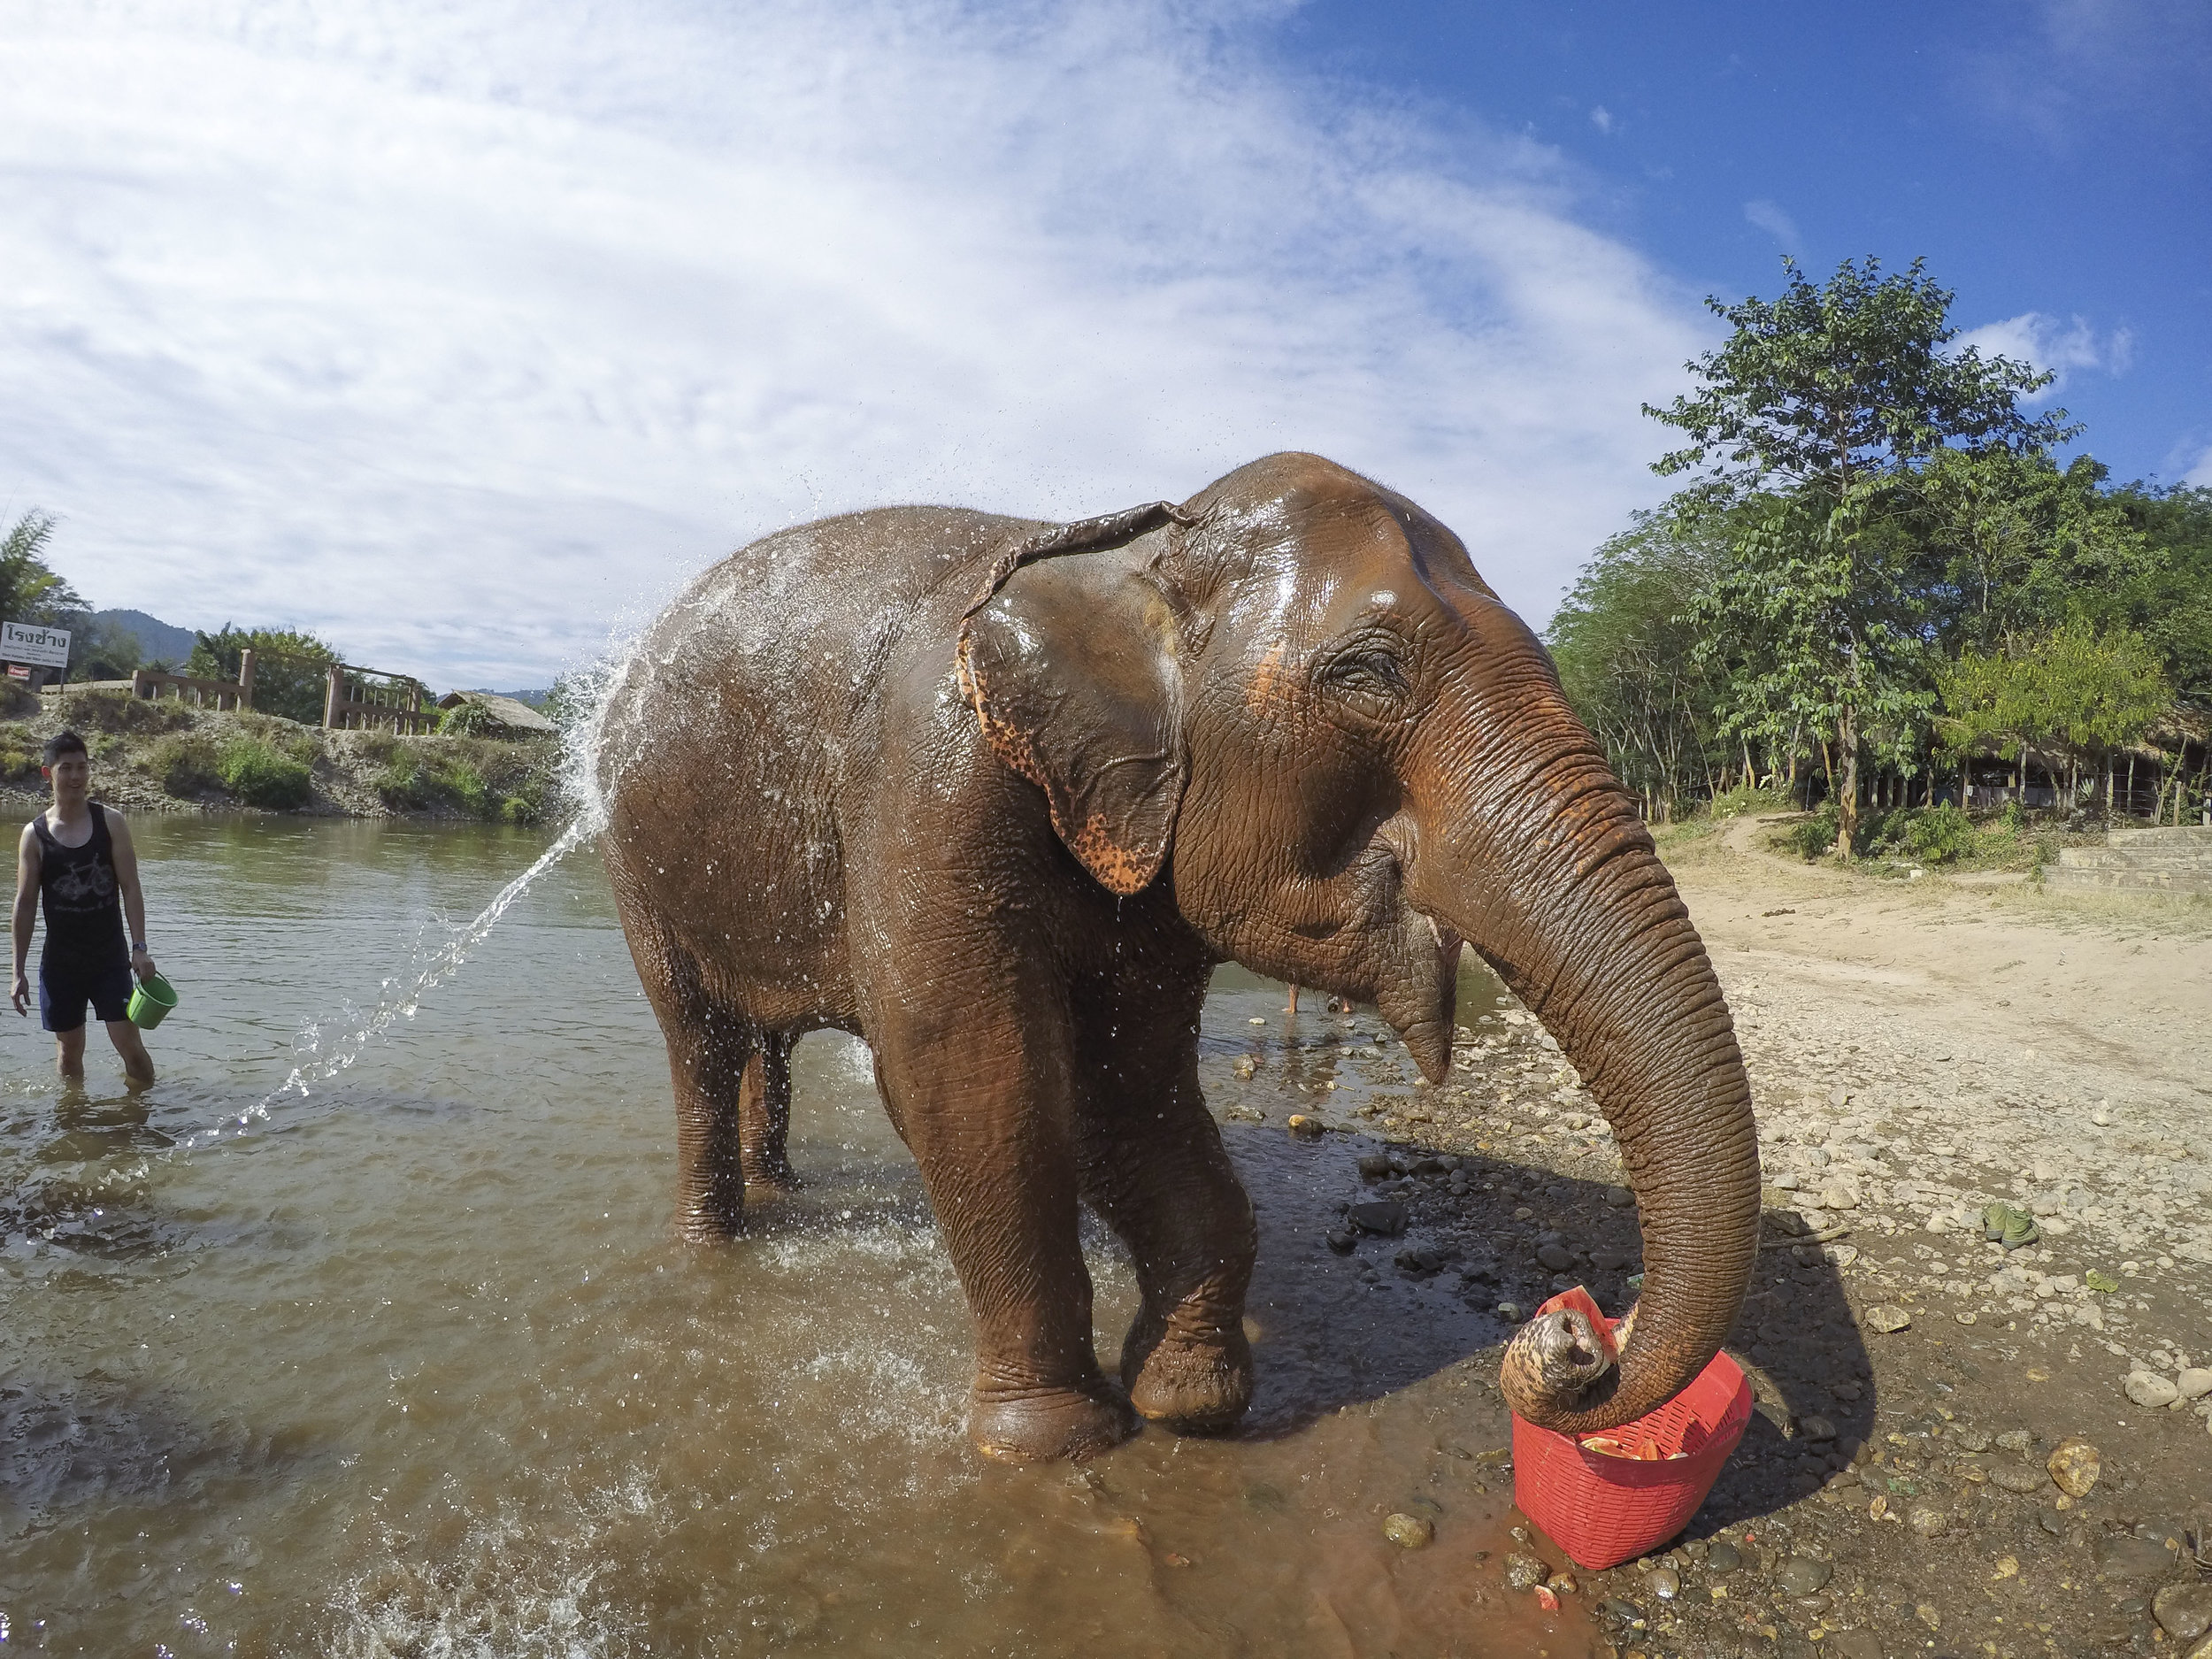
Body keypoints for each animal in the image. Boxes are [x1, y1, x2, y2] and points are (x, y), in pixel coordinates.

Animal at [597, 456, 1752, 1469]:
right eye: (1369, 675)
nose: (1576, 1336)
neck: (1138, 550)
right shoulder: (929, 776)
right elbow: (971, 1077)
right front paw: (1051, 1444)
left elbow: (1127, 1091)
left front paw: (1184, 1398)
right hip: (632, 861)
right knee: (701, 1046)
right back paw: (713, 1246)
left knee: (767, 1046)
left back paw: (779, 1186)